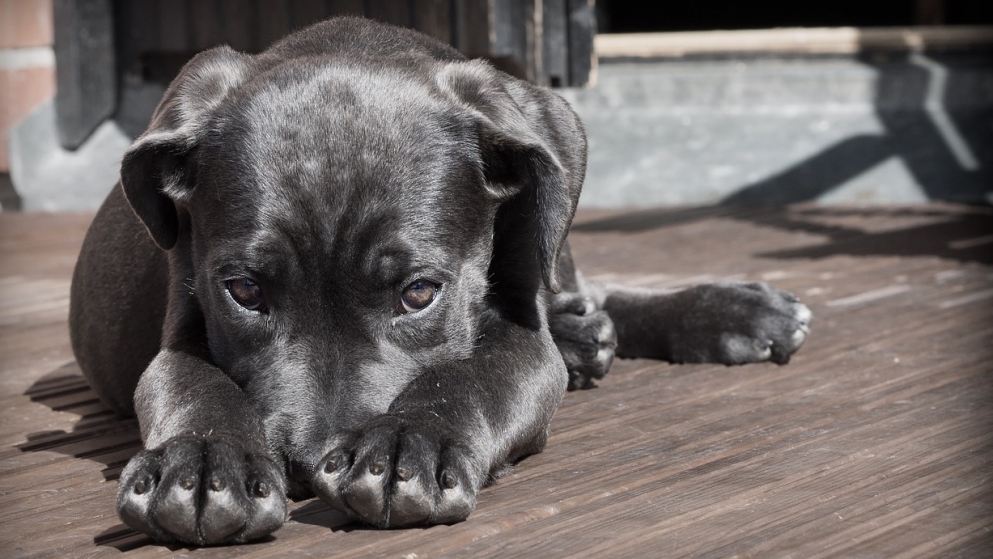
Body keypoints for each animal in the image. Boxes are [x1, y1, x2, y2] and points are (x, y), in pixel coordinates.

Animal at [70, 17, 808, 548]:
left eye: (419, 293)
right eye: (245, 292)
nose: (307, 466)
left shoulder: (520, 335)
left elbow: (473, 374)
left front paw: (408, 443)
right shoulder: (182, 320)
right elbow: (192, 382)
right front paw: (201, 462)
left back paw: (729, 312)